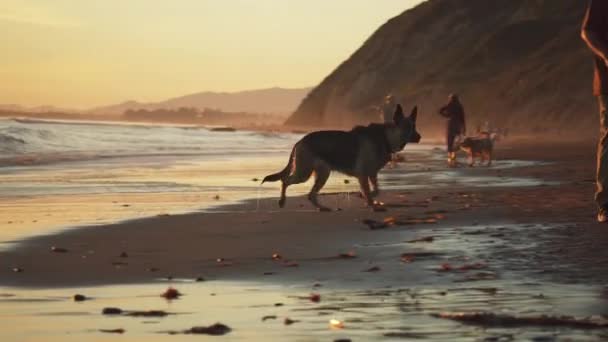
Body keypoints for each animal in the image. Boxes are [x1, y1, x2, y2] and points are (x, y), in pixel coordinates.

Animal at [262, 104, 422, 211]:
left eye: (414, 126)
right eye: (407, 128)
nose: (420, 137)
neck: (386, 137)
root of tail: (300, 141)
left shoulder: (371, 174)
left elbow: (376, 190)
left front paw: (368, 198)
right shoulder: (364, 175)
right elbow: (370, 192)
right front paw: (371, 204)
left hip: (322, 174)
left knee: (310, 195)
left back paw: (322, 208)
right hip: (304, 173)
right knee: (285, 181)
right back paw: (282, 201)